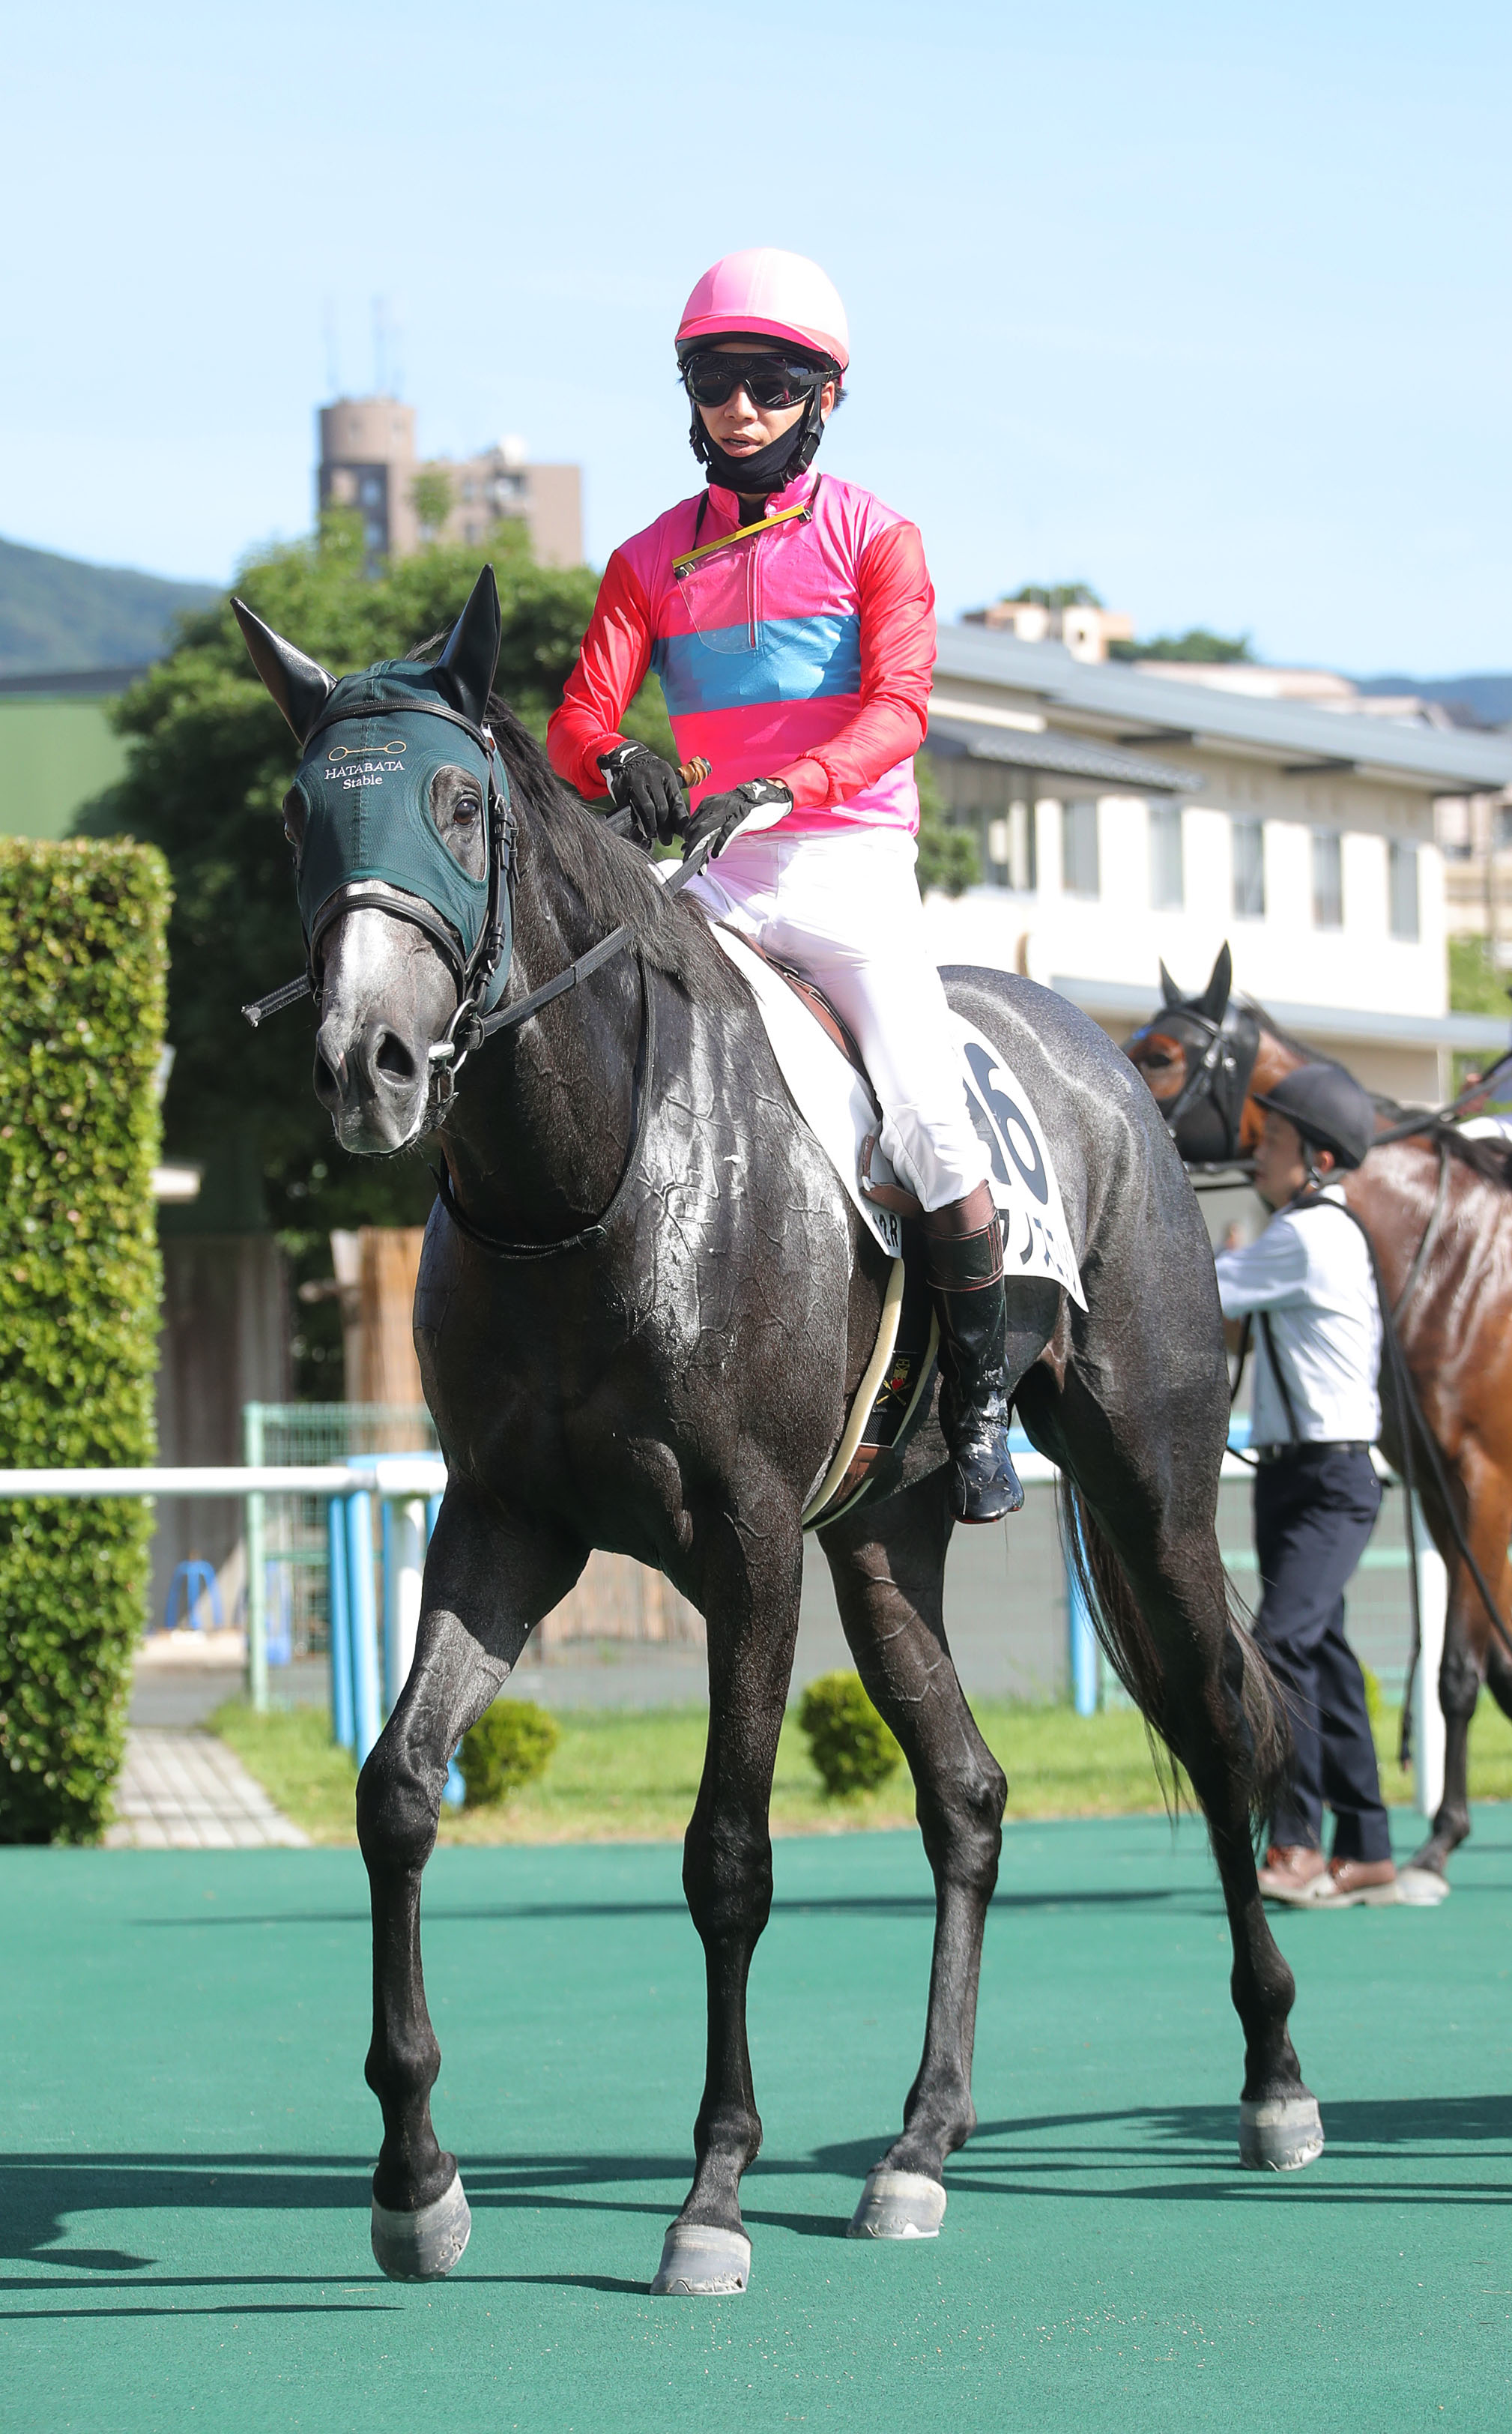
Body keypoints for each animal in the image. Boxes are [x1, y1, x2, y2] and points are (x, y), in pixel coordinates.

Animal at [232, 568, 1320, 2296]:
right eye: (295, 813)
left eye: (460, 803)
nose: (366, 1063)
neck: (594, 1173)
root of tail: (1099, 1054)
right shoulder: (502, 1519)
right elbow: (397, 1790)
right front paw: (416, 2179)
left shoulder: (744, 1543)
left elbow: (727, 1855)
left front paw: (712, 2195)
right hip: (883, 1538)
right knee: (968, 1794)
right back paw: (919, 2144)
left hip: (1146, 1478)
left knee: (1222, 1732)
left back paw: (1273, 2084)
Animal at [1125, 945, 1512, 1885]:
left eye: (1161, 1052)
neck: (1450, 1253)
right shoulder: (1440, 1487)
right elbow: (1494, 1658)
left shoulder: (1485, 1481)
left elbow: (1459, 1666)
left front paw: (1436, 1841)